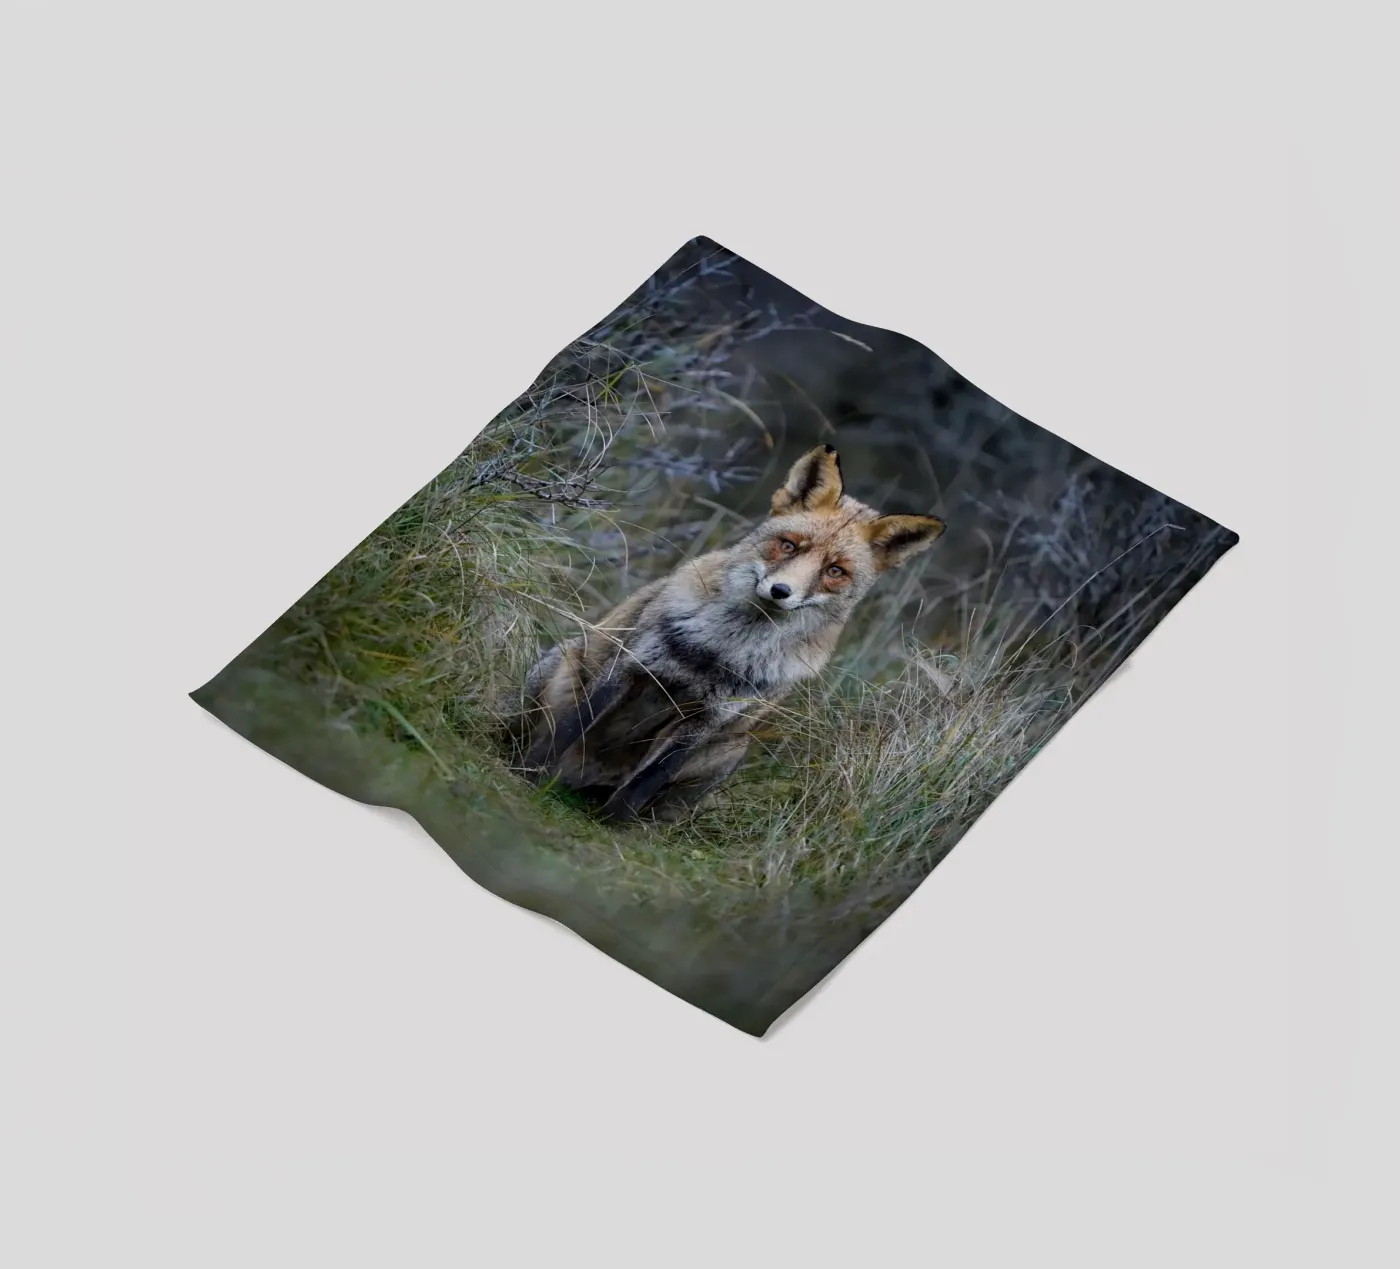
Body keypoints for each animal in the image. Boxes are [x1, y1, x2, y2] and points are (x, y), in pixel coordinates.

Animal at [502, 444, 946, 822]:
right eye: (788, 545)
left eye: (835, 571)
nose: (780, 591)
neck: (720, 651)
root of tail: (577, 779)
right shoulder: (628, 668)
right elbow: (571, 726)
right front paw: (527, 776)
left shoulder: (709, 718)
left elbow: (648, 779)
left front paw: (613, 825)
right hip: (560, 665)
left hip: (732, 748)